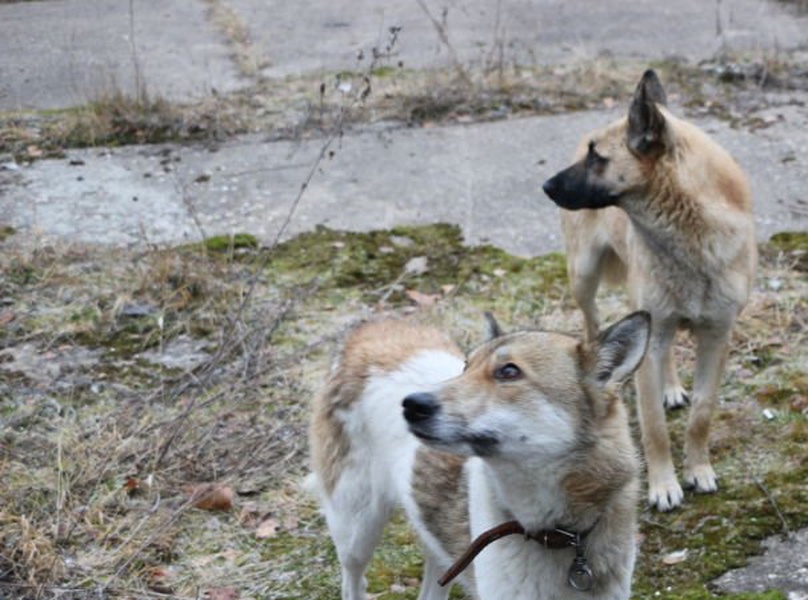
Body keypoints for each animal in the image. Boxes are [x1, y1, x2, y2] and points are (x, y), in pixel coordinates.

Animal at [544, 70, 756, 510]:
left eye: (597, 157)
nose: (546, 185)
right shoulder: (651, 336)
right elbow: (654, 427)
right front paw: (663, 485)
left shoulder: (717, 337)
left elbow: (702, 413)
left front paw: (698, 469)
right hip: (585, 279)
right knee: (593, 325)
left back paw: (672, 387)